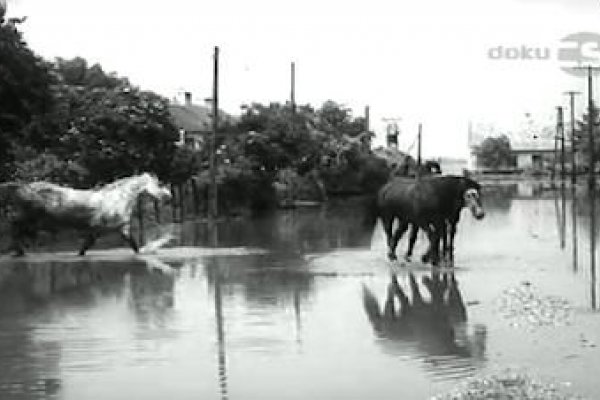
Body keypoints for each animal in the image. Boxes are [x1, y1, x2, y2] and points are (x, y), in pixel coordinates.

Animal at [0, 173, 171, 258]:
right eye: (160, 184)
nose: (168, 196)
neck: (117, 199)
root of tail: (24, 186)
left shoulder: (119, 229)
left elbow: (133, 245)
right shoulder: (103, 229)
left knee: (17, 231)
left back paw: (19, 251)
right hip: (28, 218)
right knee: (15, 229)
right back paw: (18, 251)